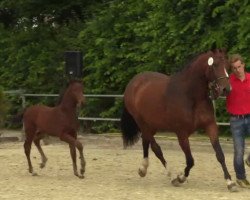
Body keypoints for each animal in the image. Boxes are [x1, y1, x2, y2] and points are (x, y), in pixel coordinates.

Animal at [120, 49, 237, 191]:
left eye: (228, 65)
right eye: (215, 65)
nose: (227, 89)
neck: (191, 96)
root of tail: (134, 82)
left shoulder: (211, 126)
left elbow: (220, 155)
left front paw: (230, 182)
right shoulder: (181, 134)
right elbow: (190, 160)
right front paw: (180, 177)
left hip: (152, 125)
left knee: (145, 141)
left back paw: (143, 169)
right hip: (143, 123)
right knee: (156, 148)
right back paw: (170, 176)